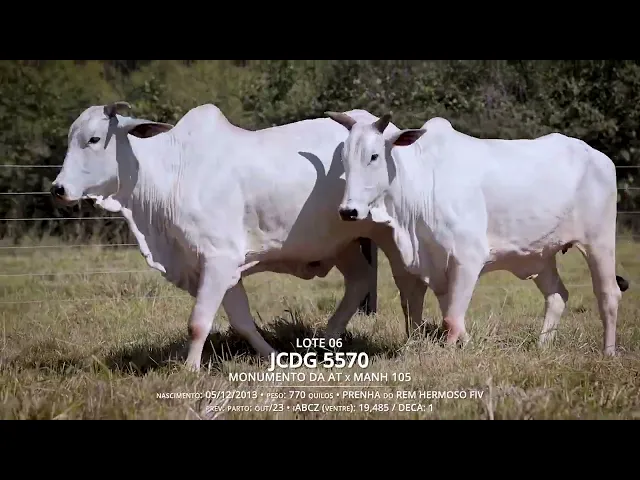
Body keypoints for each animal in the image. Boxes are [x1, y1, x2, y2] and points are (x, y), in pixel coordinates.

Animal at [50, 101, 425, 371]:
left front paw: (189, 371)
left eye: (94, 139)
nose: (58, 188)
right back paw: (327, 340)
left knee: (408, 285)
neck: (172, 170)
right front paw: (274, 358)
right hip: (339, 243)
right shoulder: (220, 266)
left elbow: (198, 322)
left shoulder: (219, 258)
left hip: (389, 234)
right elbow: (242, 321)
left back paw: (413, 343)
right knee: (361, 279)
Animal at [326, 111, 630, 356]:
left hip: (599, 242)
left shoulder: (467, 258)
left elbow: (451, 320)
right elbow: (450, 315)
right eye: (344, 158)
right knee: (557, 296)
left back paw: (608, 352)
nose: (348, 211)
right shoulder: (436, 264)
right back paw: (542, 346)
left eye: (374, 156)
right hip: (542, 255)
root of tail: (599, 157)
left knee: (608, 294)